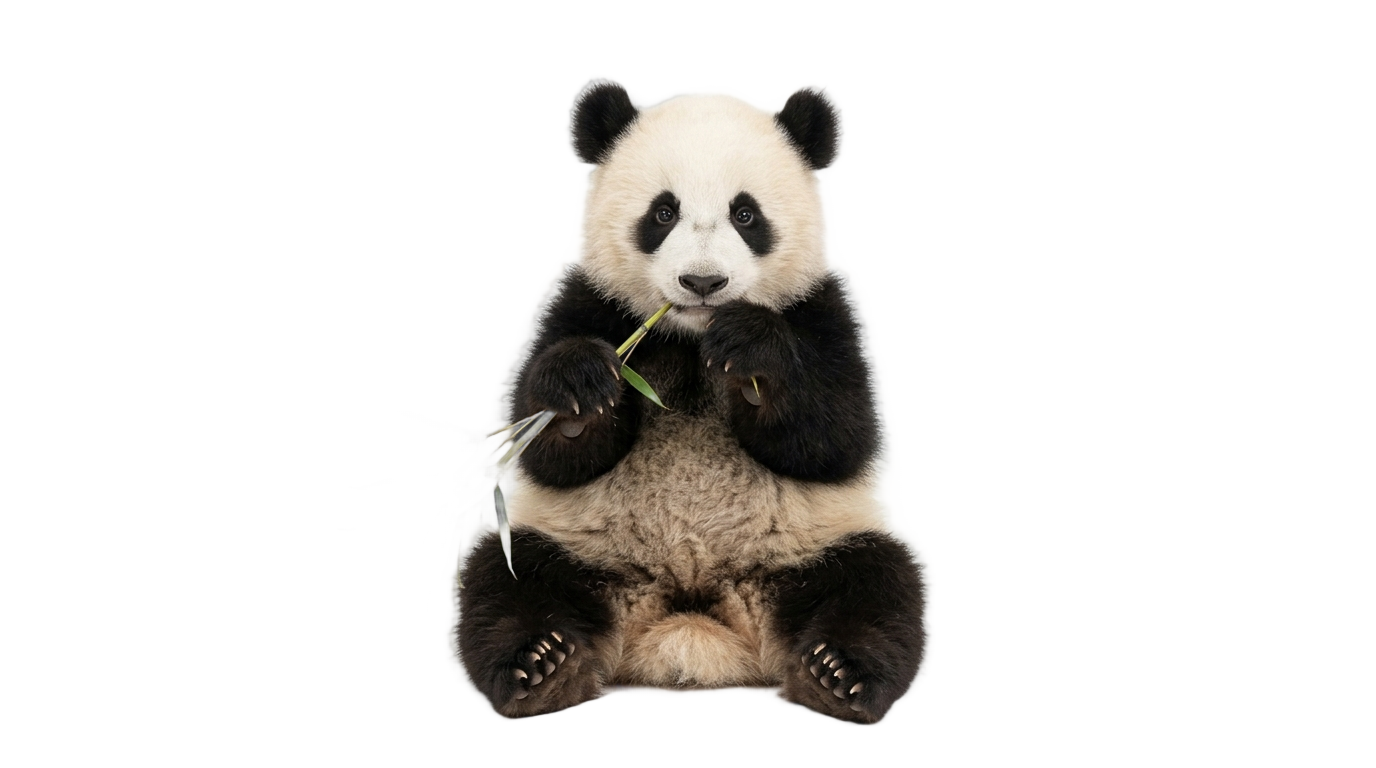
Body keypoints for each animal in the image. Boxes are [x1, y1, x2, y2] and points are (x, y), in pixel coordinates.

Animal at [455, 82, 925, 722]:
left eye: (745, 214)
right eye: (663, 212)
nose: (703, 283)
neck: (689, 339)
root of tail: (689, 615)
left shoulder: (819, 308)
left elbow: (836, 437)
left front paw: (752, 349)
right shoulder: (591, 304)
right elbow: (552, 456)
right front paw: (578, 393)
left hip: (807, 549)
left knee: (874, 584)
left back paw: (836, 674)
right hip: (577, 548)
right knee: (508, 580)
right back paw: (543, 664)